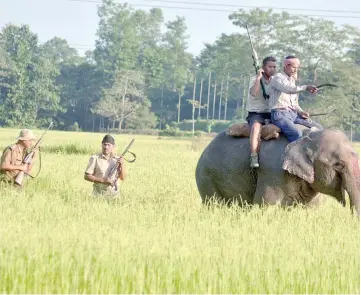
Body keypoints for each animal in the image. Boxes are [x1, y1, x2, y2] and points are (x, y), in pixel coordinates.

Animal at [195, 124, 358, 215]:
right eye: (338, 165)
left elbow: (311, 209)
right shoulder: (273, 172)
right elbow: (266, 206)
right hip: (207, 176)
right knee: (214, 204)